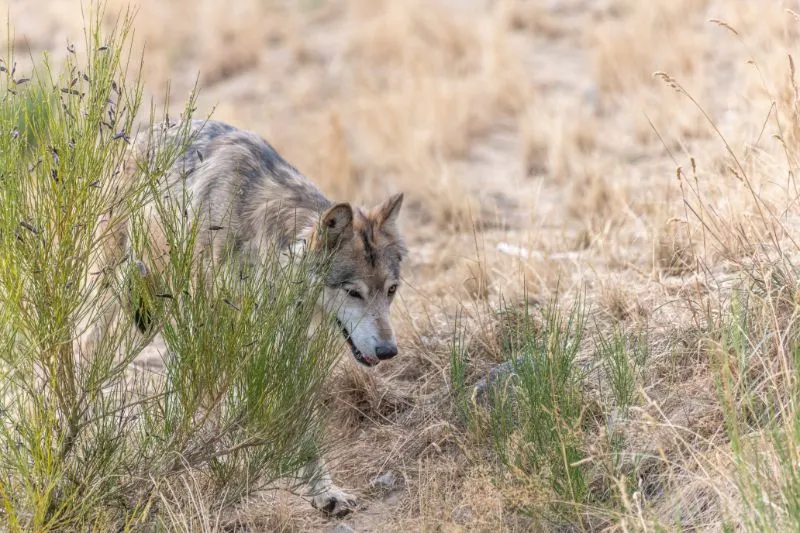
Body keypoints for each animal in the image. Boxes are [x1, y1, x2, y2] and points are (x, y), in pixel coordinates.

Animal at [79, 118, 410, 516]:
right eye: (353, 292)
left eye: (390, 290)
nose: (388, 351)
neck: (271, 247)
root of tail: (140, 133)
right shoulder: (206, 329)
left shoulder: (289, 347)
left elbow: (301, 422)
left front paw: (324, 491)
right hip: (117, 294)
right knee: (86, 352)